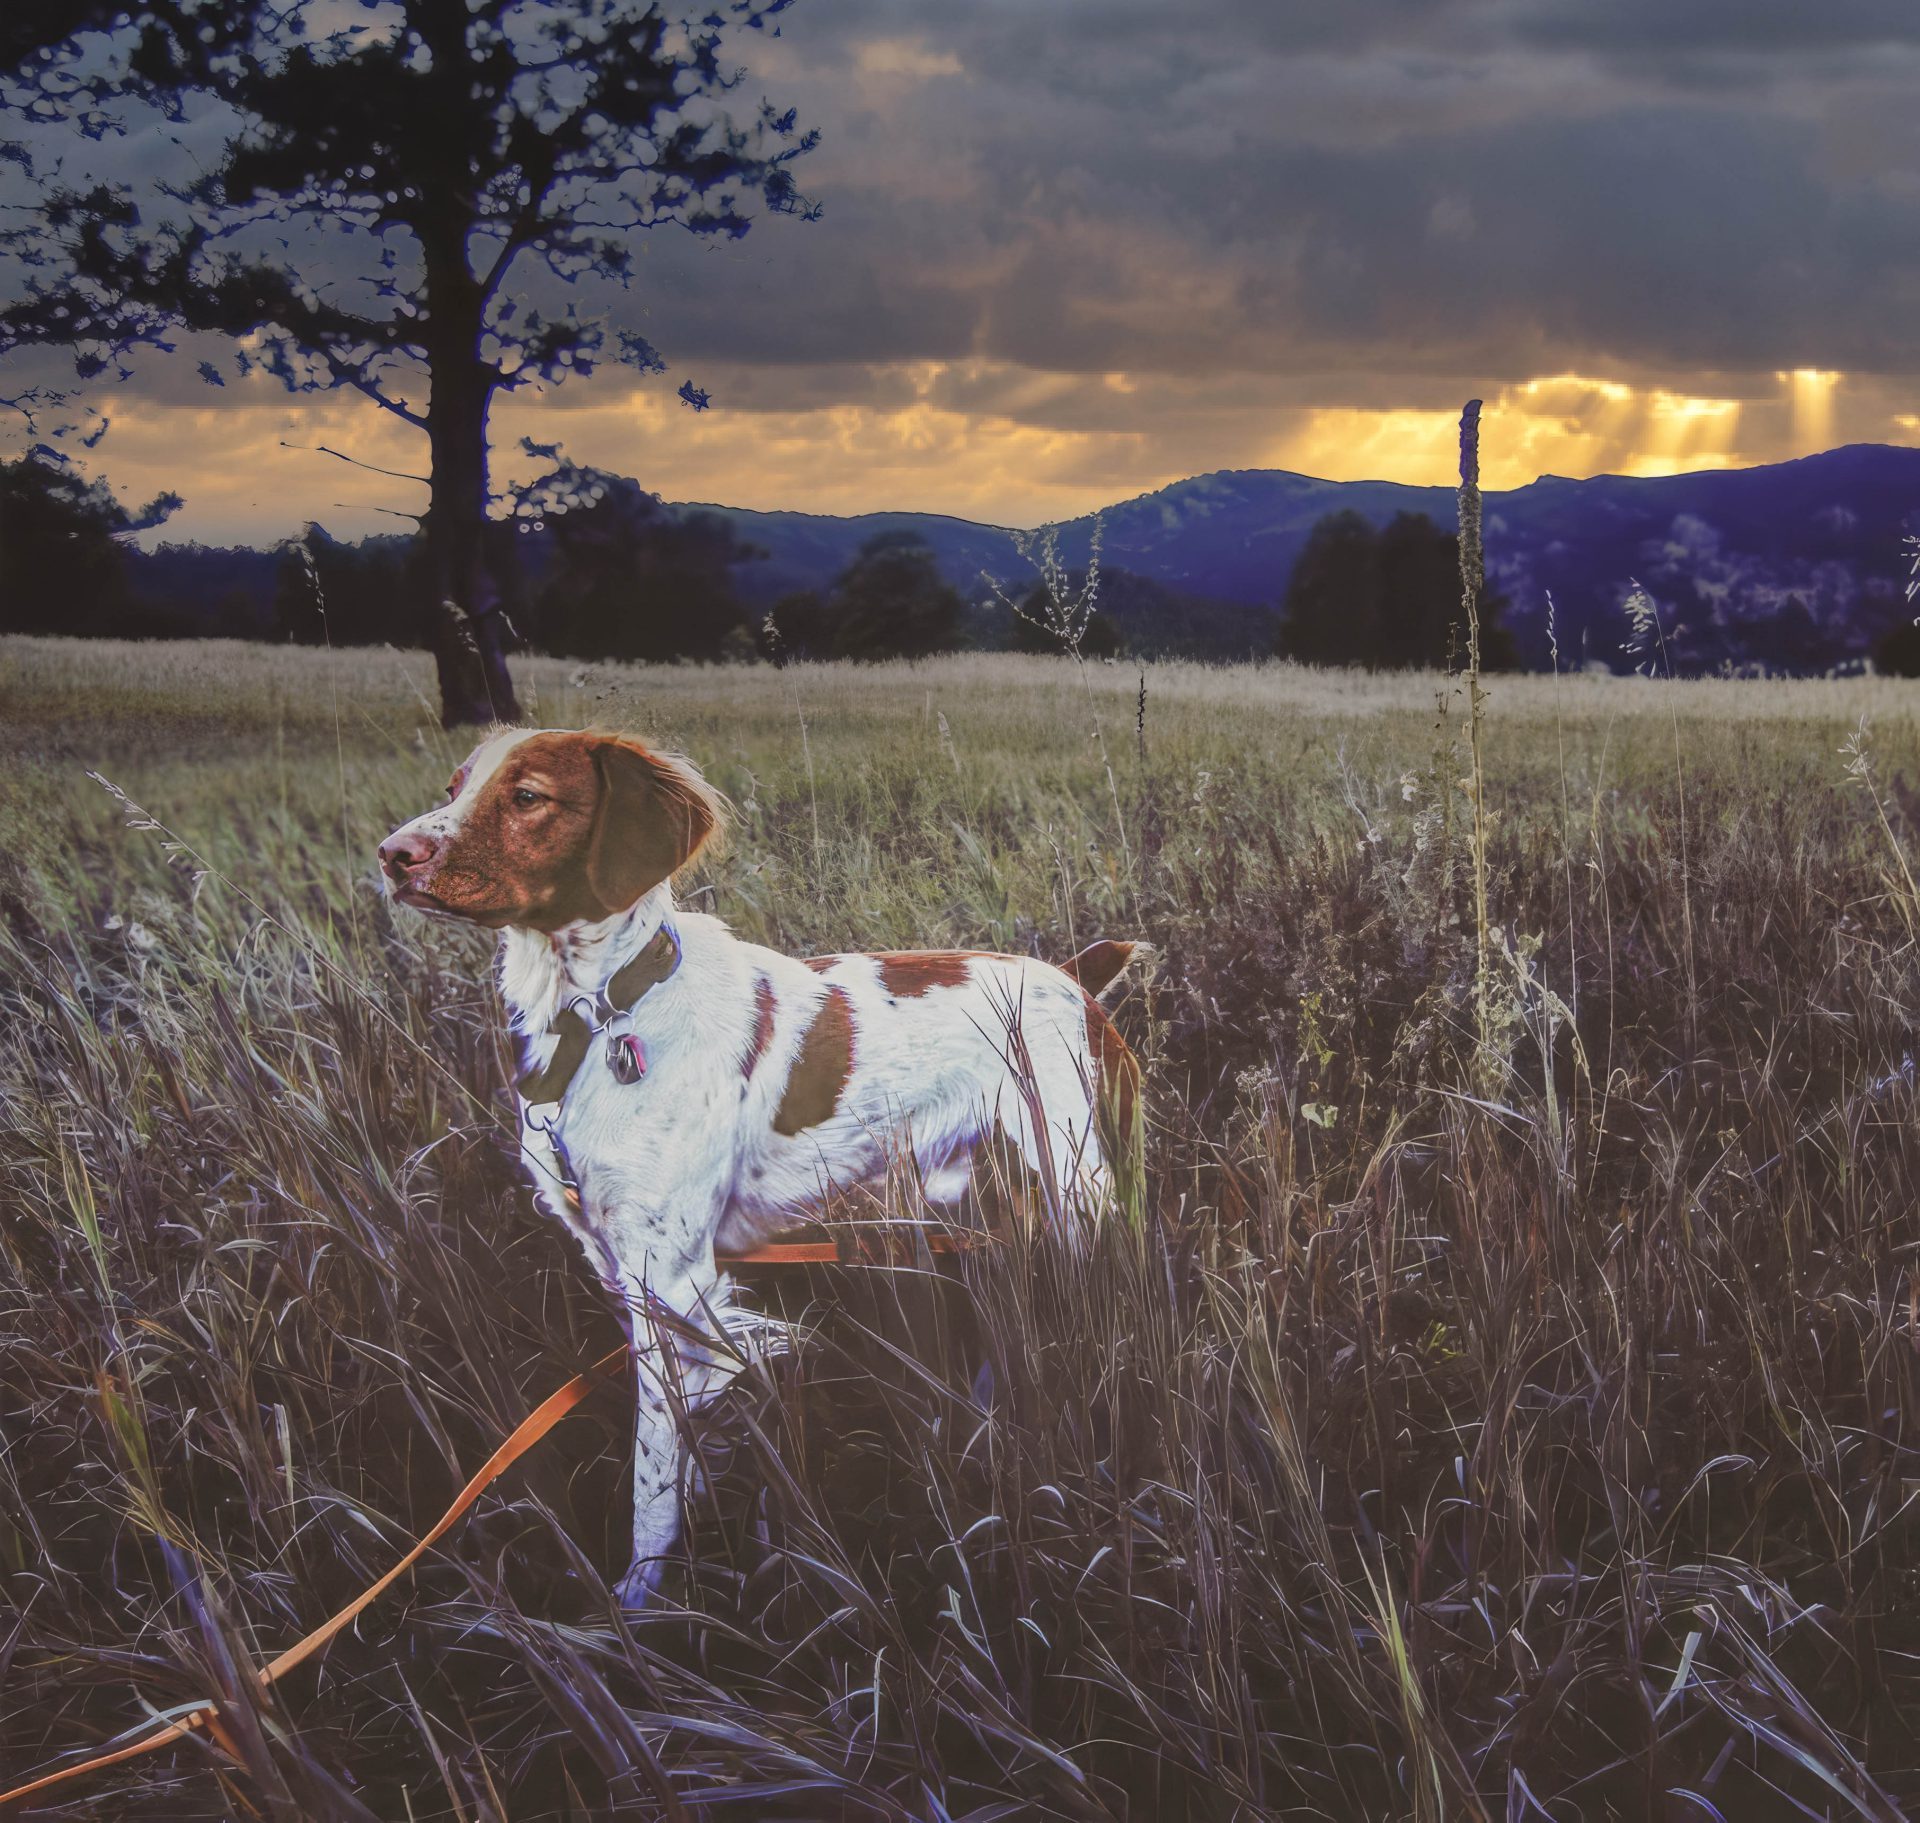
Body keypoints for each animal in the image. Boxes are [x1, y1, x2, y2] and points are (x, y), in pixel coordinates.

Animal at [382, 726, 1144, 1605]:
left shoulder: (669, 1274)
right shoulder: (620, 1265)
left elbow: (652, 1469)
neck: (604, 1014)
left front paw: (641, 1600)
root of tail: (1074, 978)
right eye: (455, 786)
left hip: (1083, 1191)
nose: (391, 855)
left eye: (528, 795)